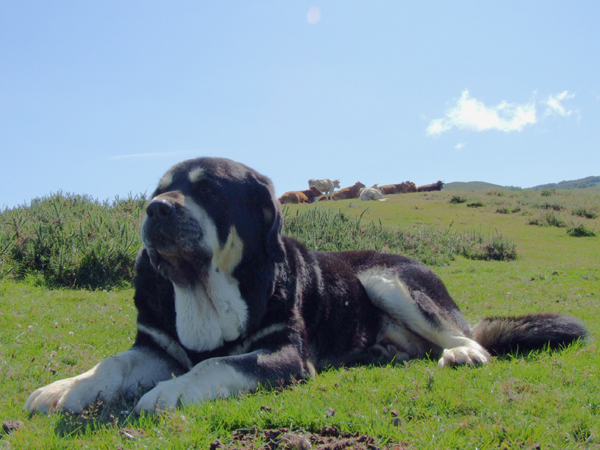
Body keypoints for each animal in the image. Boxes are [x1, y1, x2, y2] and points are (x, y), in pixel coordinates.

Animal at [24, 158, 584, 414]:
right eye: (160, 191)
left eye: (209, 191)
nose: (155, 210)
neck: (204, 290)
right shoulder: (154, 346)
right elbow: (111, 364)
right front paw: (64, 388)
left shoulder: (285, 355)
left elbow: (217, 365)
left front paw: (170, 391)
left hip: (387, 279)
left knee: (467, 338)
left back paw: (463, 352)